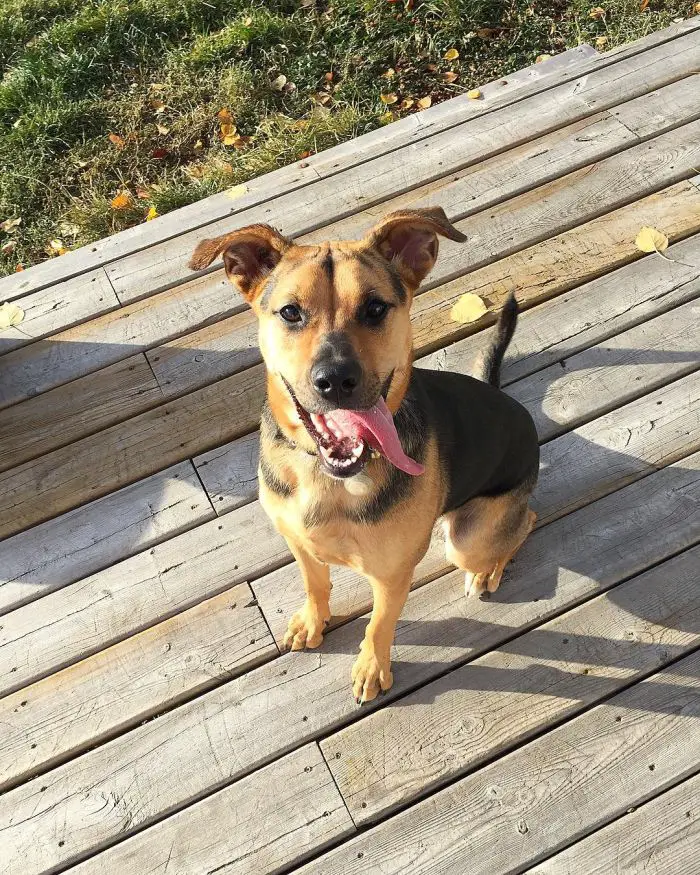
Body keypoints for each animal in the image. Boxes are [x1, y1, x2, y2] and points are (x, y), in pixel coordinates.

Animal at [189, 210, 540, 704]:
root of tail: (506, 399)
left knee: (525, 522)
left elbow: (378, 626)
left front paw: (372, 668)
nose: (335, 380)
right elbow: (315, 583)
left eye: (375, 308)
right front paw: (313, 621)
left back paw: (488, 572)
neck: (326, 475)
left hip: (467, 540)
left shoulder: (390, 577)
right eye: (290, 312)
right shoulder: (299, 542)